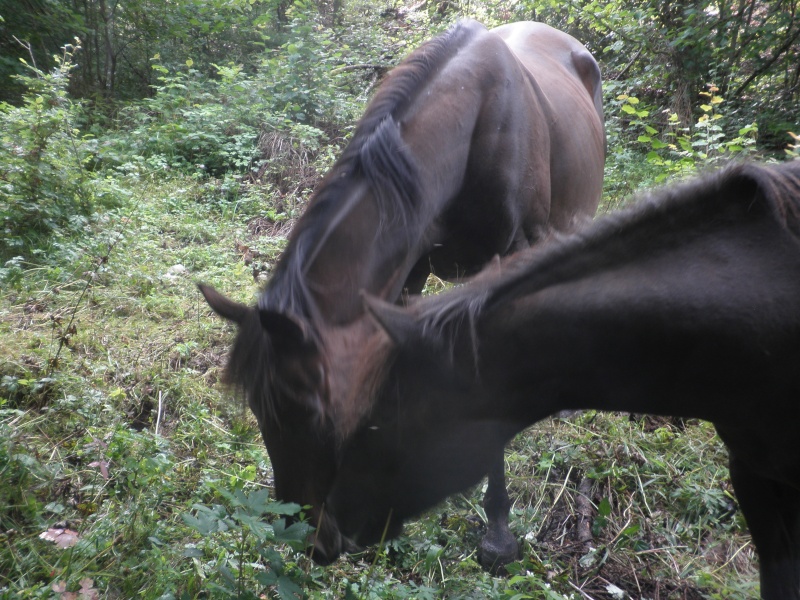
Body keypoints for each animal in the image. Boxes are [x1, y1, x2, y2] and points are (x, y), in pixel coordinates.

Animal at [198, 19, 608, 568]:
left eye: (309, 411)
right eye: (260, 412)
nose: (308, 541)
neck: (469, 130)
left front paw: (497, 533)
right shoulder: (407, 272)